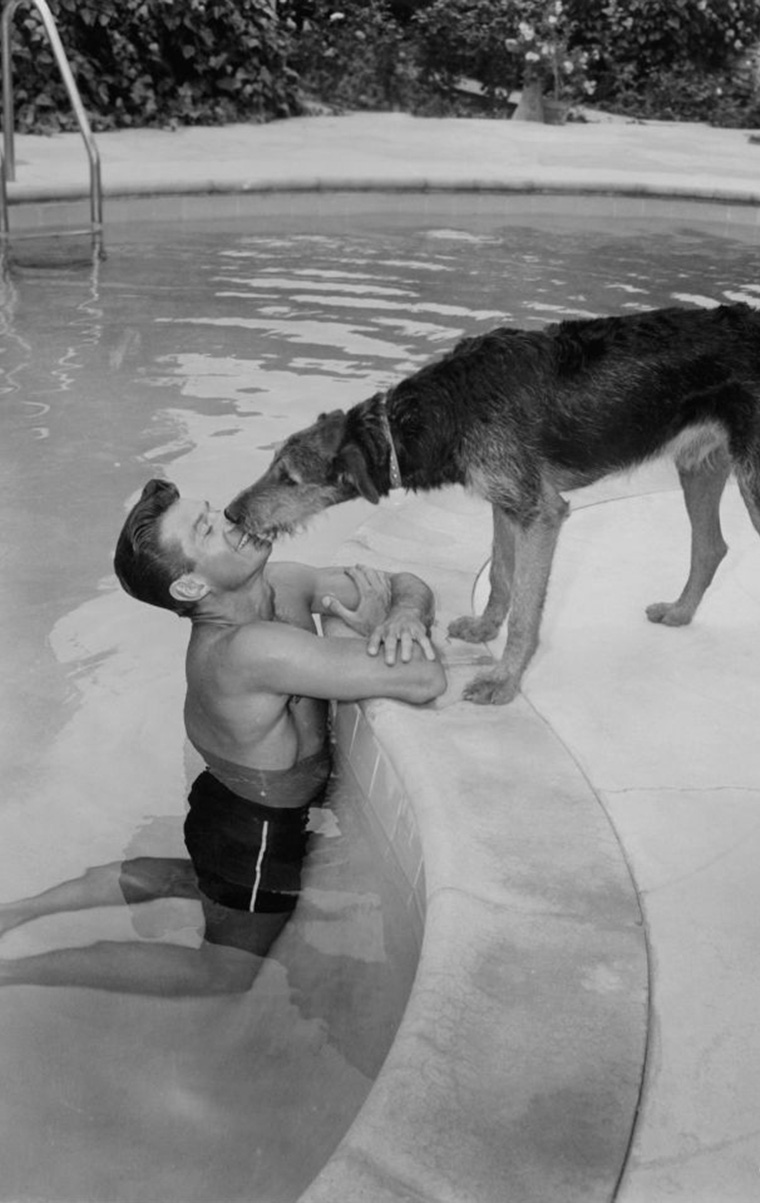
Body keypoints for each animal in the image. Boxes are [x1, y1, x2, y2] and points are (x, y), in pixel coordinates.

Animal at [226, 303, 760, 705]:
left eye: (290, 478)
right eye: (272, 464)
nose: (232, 513)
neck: (440, 410)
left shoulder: (540, 512)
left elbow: (525, 612)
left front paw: (503, 681)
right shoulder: (506, 502)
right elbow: (502, 573)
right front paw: (485, 627)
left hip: (749, 483)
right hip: (699, 465)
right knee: (711, 547)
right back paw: (679, 613)